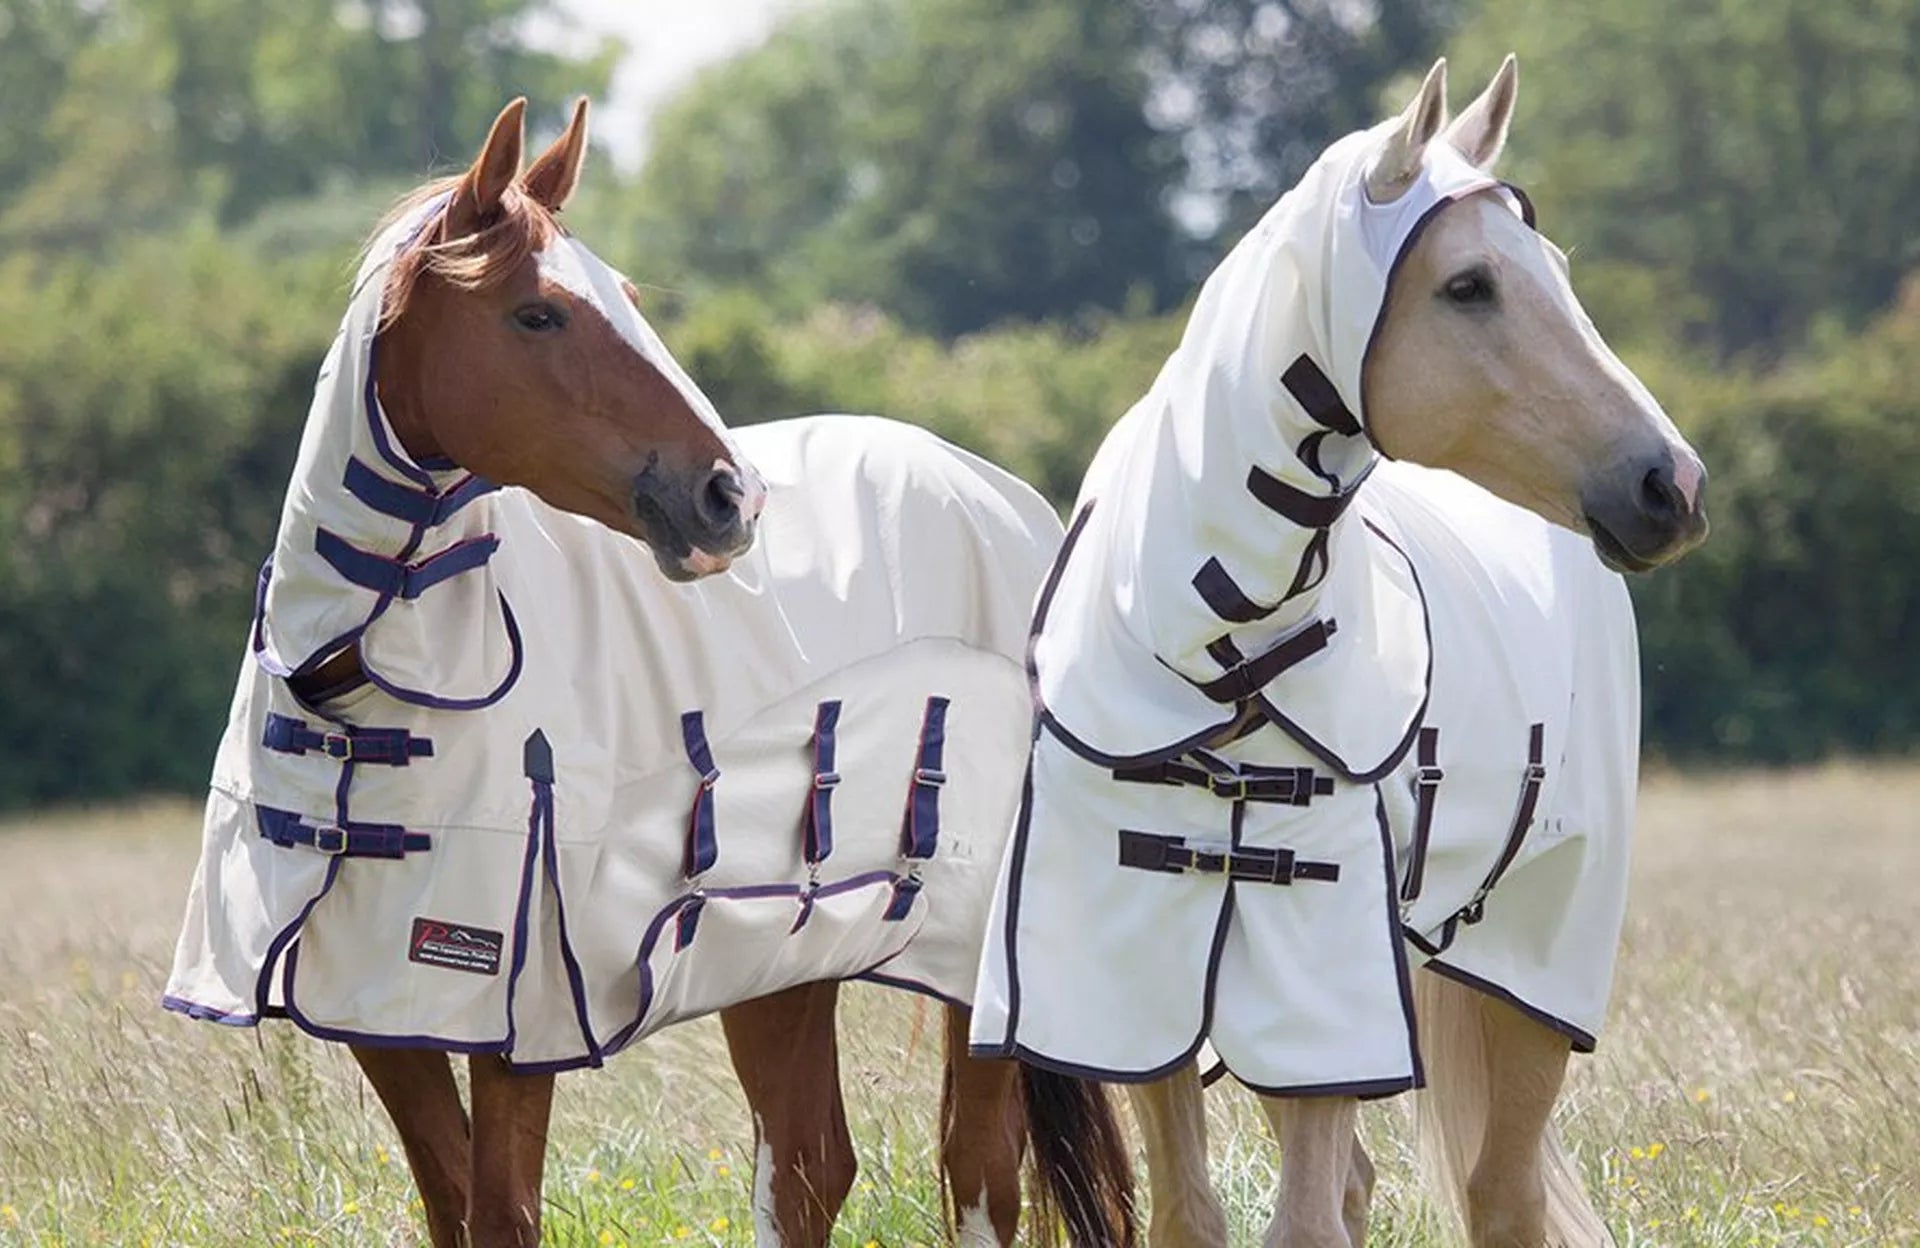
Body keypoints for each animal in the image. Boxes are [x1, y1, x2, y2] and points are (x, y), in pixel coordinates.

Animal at [162, 97, 1061, 1247]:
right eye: (538, 315)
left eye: (627, 300)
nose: (731, 497)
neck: (365, 678)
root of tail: (1006, 500)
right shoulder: (374, 1016)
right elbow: (452, 1207)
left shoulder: (518, 1019)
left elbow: (501, 1215)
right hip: (779, 948)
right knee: (809, 1169)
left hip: (961, 956)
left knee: (976, 1168)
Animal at [978, 58, 1709, 1247]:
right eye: (1469, 285)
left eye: (1553, 268)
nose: (1672, 486)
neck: (1217, 658)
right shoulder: (1143, 998)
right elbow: (1193, 1214)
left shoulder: (1328, 995)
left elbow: (1307, 1223)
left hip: (1526, 975)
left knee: (1500, 1196)